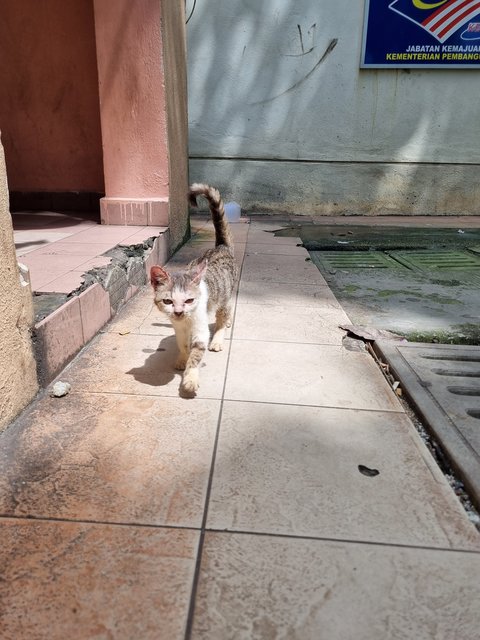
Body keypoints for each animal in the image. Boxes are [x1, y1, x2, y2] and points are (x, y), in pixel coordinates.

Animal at [151, 185, 237, 392]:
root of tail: (221, 246)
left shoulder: (200, 328)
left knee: (223, 315)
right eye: (168, 301)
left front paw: (190, 378)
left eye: (189, 300)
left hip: (225, 296)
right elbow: (183, 345)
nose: (179, 312)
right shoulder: (179, 328)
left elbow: (196, 353)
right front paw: (182, 359)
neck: (186, 322)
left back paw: (219, 337)